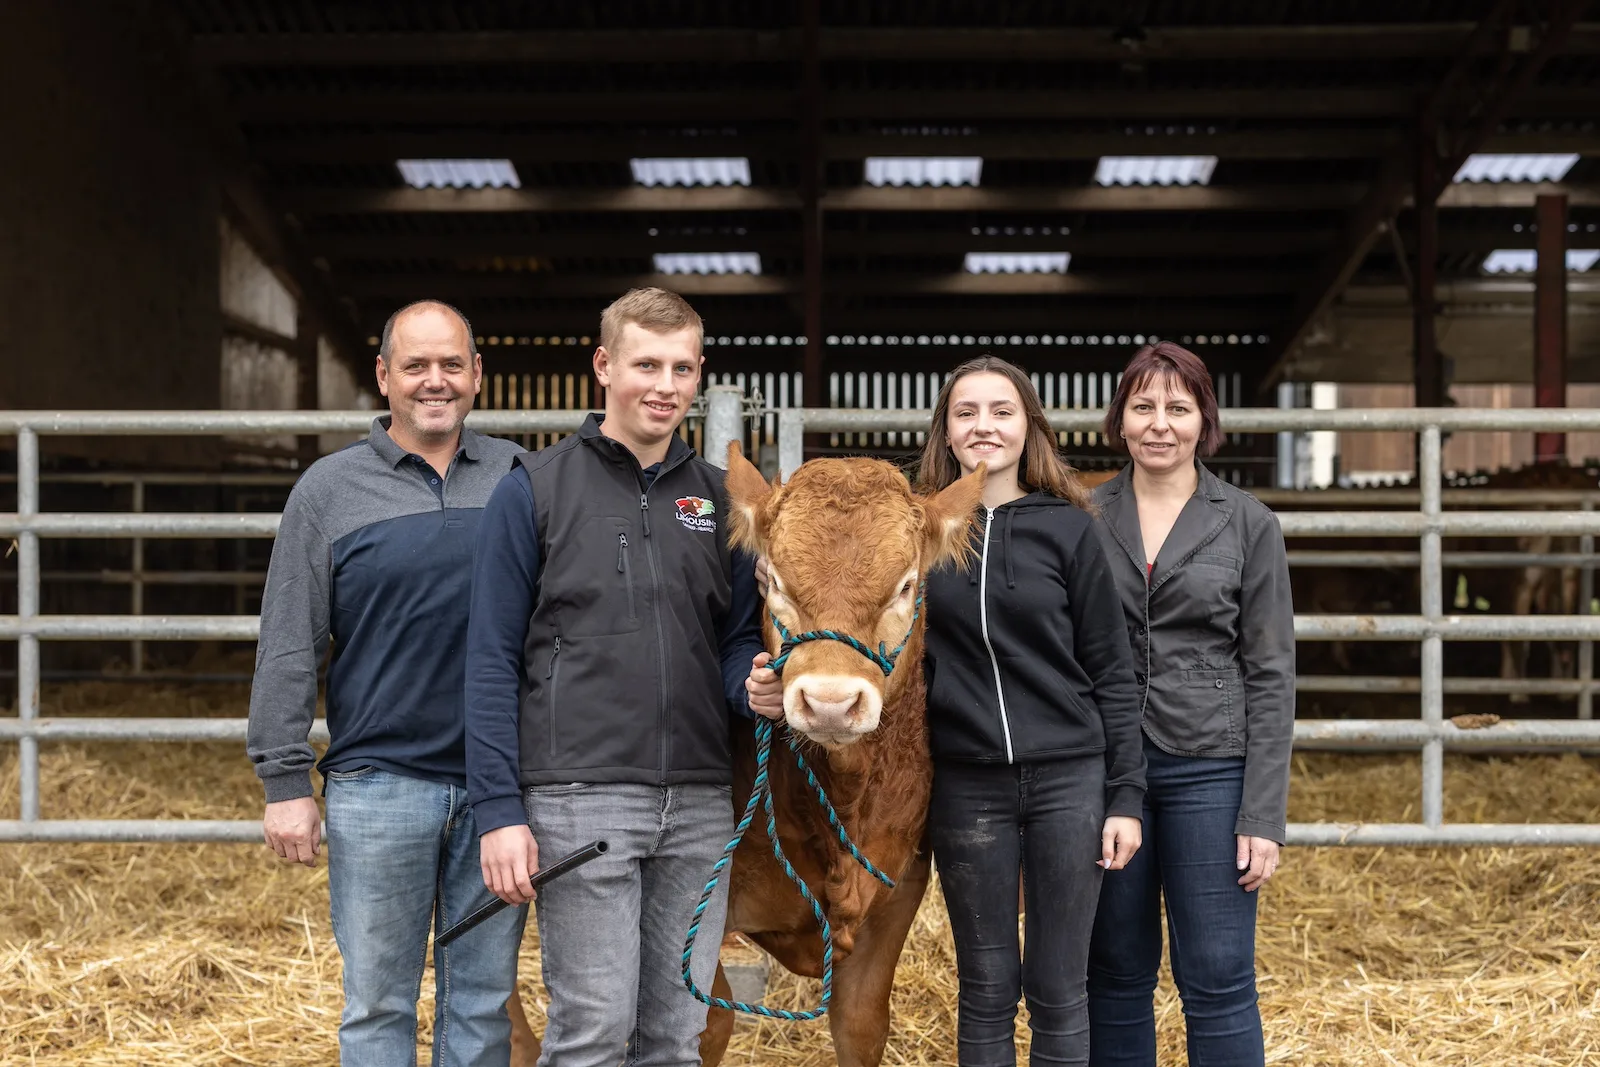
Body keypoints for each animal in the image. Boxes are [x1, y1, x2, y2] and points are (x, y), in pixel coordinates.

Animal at [508, 447, 985, 1062]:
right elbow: (704, 1021)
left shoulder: (897, 894)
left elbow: (860, 1025)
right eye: (774, 581)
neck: (840, 802)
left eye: (905, 586)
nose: (830, 702)